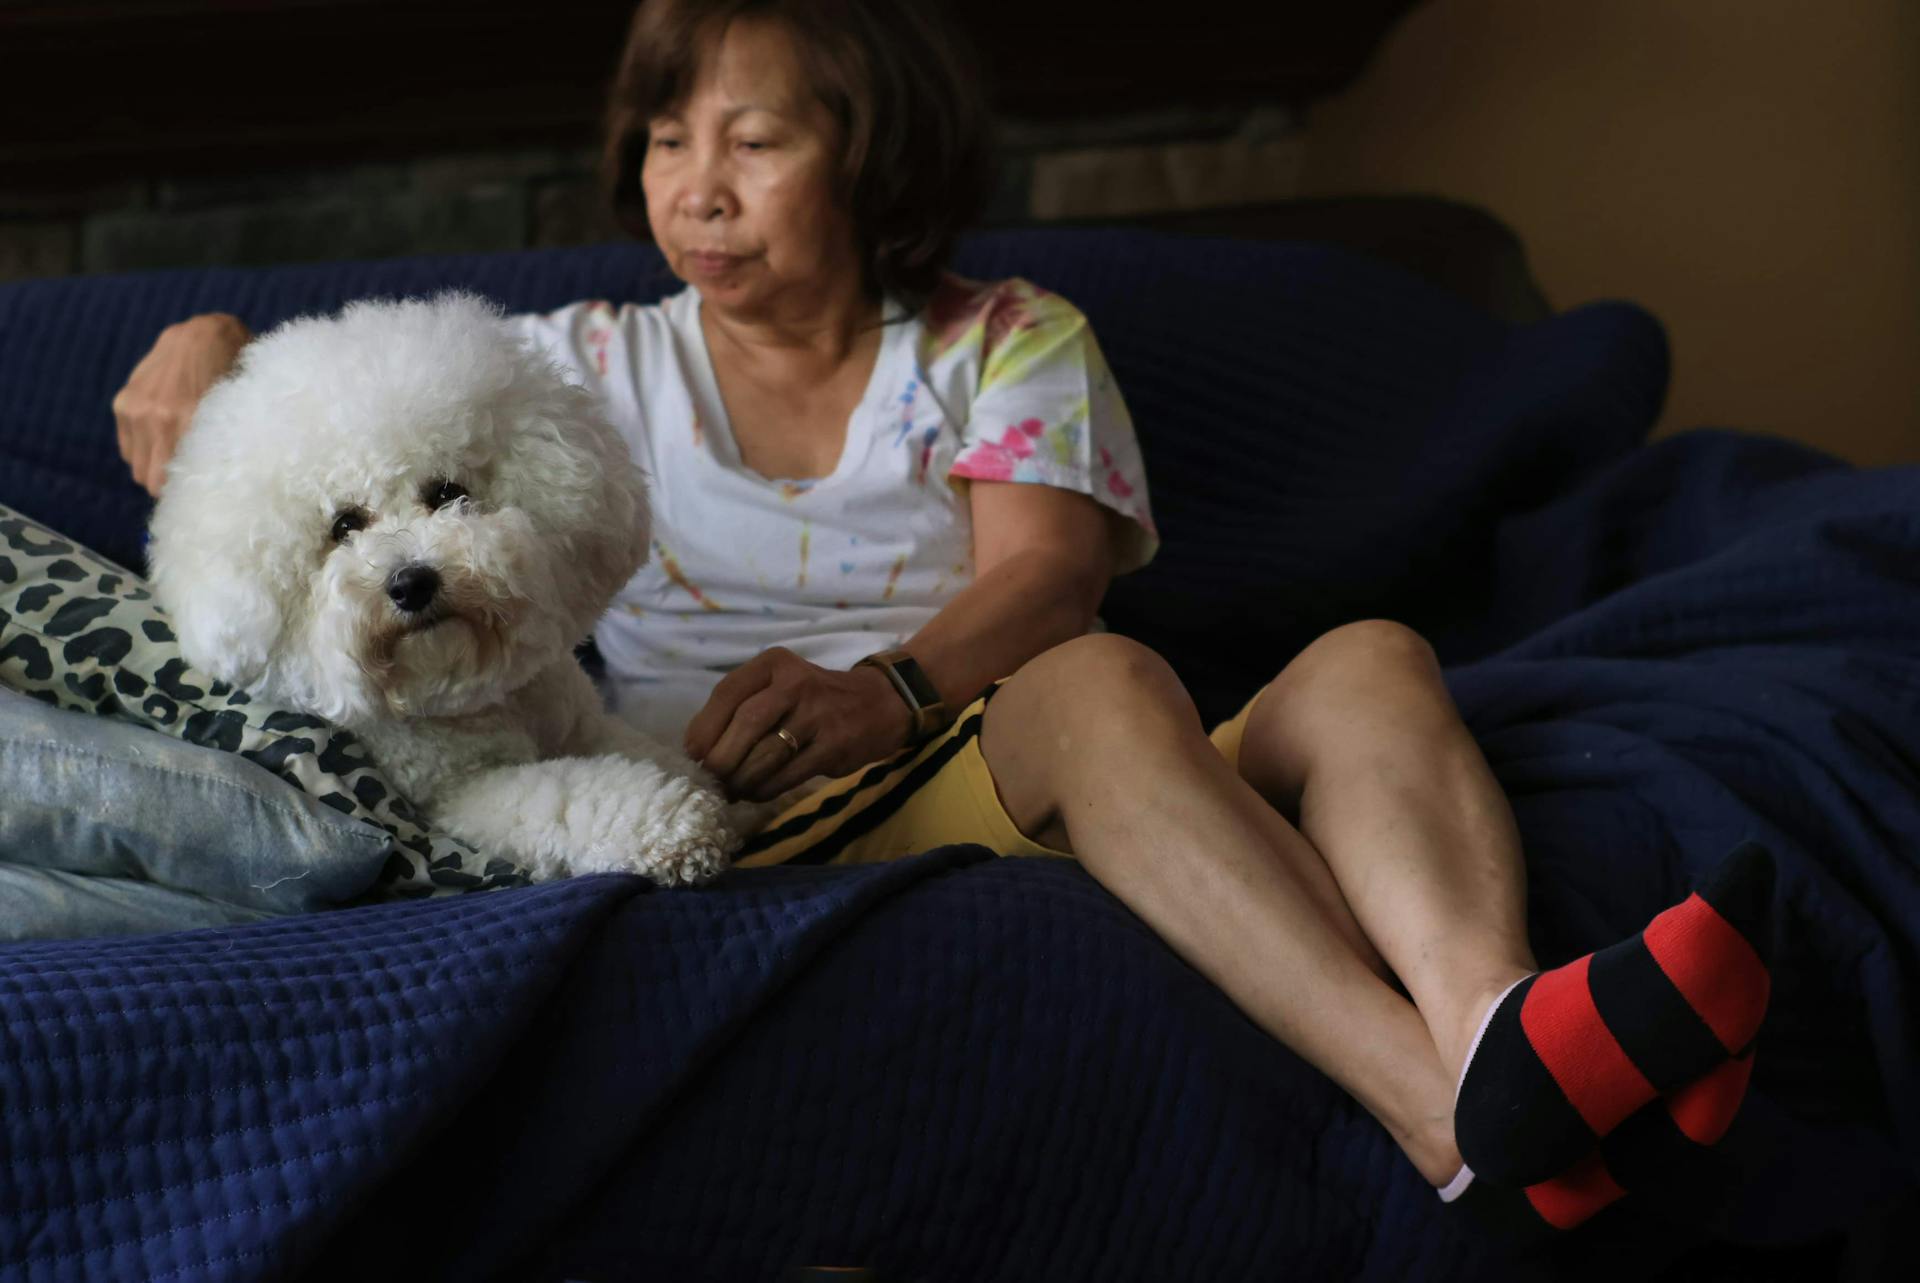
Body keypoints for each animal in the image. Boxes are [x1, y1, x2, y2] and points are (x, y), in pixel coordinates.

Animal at [151, 291, 741, 887]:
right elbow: (569, 797)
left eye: (446, 493)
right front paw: (676, 827)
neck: (479, 697)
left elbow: (644, 750)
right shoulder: (461, 793)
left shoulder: (585, 723)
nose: (411, 583)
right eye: (344, 526)